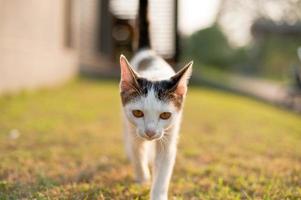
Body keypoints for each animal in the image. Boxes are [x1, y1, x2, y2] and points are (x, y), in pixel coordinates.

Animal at [118, 0, 191, 199]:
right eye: (137, 112)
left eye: (165, 115)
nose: (150, 132)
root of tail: (148, 51)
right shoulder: (133, 127)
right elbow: (138, 152)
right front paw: (143, 179)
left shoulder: (171, 132)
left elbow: (164, 165)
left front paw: (157, 192)